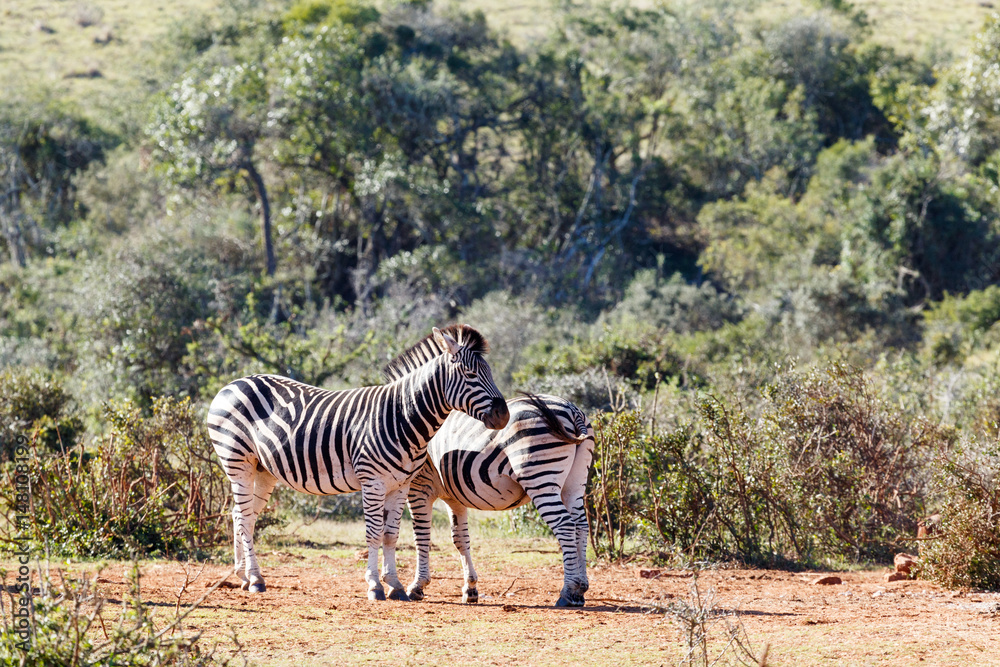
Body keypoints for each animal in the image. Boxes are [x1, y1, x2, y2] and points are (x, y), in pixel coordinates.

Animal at [208, 326, 512, 604]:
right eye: (470, 374)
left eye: (489, 372)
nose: (503, 415)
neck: (401, 415)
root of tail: (233, 383)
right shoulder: (373, 482)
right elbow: (374, 534)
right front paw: (375, 586)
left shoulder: (401, 484)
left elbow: (390, 535)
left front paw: (395, 586)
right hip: (238, 462)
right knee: (244, 518)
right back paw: (256, 579)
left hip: (263, 471)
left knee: (241, 515)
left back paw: (244, 576)